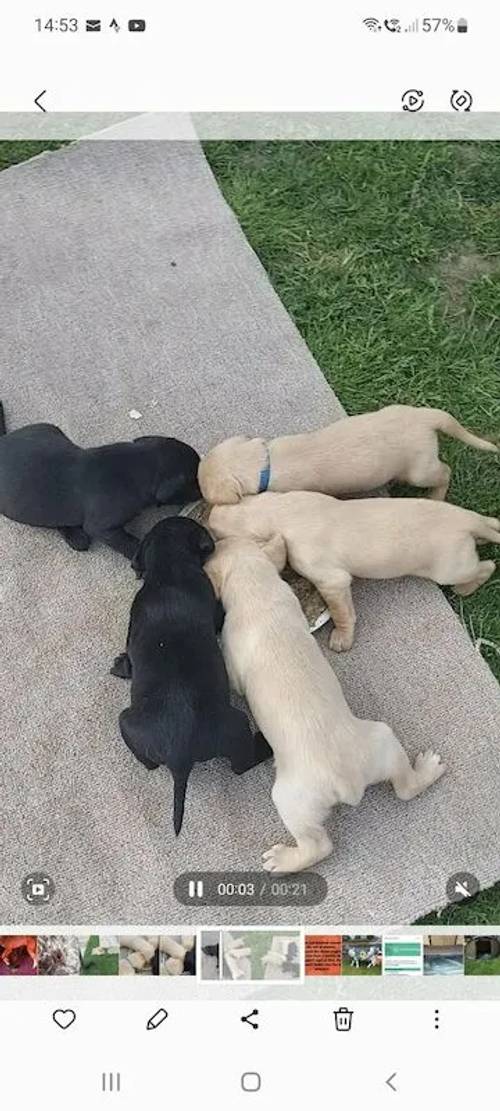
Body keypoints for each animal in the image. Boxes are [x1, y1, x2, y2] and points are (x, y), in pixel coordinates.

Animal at [0, 399, 198, 559]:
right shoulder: (102, 527)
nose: (202, 493)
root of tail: (3, 439)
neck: (139, 463)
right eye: (194, 482)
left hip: (48, 428)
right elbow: (130, 544)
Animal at [206, 537, 444, 875]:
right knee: (404, 786)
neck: (257, 586)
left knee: (318, 846)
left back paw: (283, 860)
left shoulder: (233, 661)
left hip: (291, 798)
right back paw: (427, 769)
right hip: (382, 741)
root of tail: (348, 783)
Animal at [211, 493, 500, 648]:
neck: (280, 510)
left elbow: (342, 612)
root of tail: (469, 521)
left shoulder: (331, 580)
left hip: (450, 568)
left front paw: (342, 637)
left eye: (216, 534)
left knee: (486, 566)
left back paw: (466, 588)